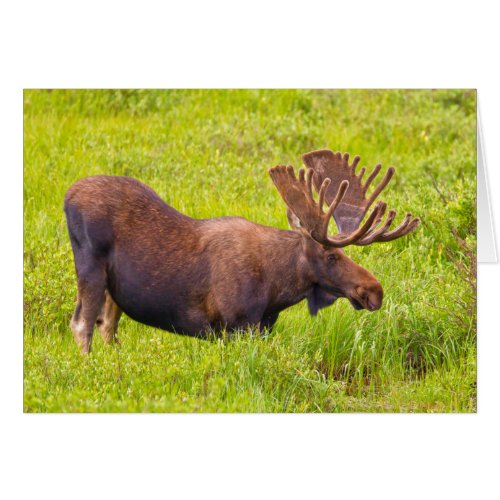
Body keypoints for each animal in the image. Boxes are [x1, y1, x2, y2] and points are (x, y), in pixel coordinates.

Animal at [64, 148, 420, 352]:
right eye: (332, 256)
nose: (374, 290)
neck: (277, 290)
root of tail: (67, 196)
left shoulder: (262, 327)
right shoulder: (234, 325)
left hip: (115, 289)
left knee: (107, 326)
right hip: (90, 268)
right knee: (81, 325)